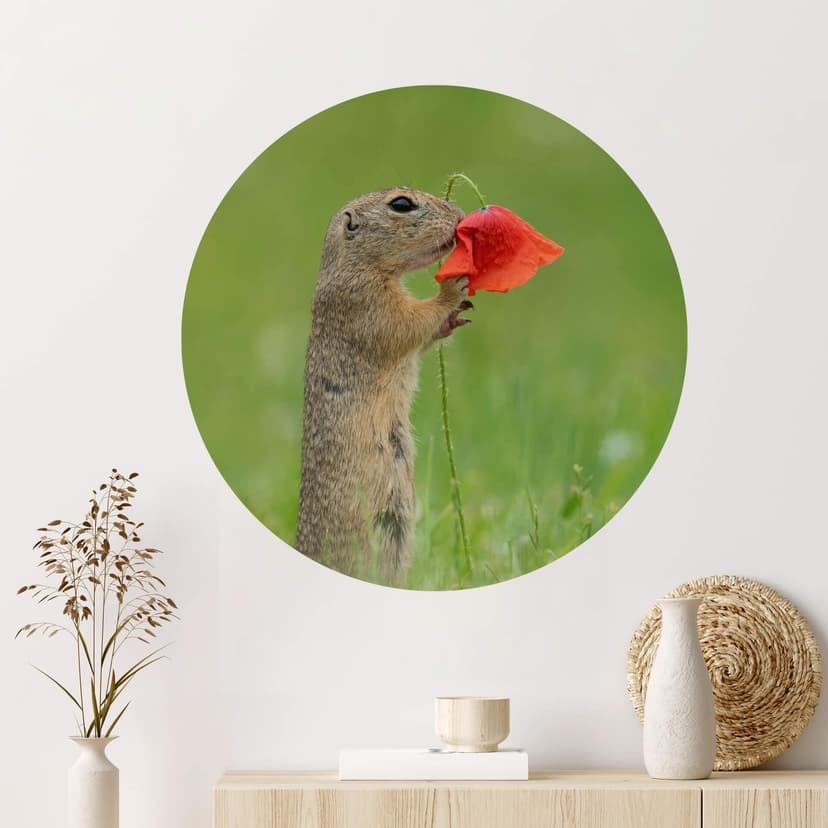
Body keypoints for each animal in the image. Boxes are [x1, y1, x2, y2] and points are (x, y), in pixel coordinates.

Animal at [296, 187, 472, 585]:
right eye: (401, 204)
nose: (459, 214)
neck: (355, 265)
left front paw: (455, 316)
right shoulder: (366, 302)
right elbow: (408, 323)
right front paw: (453, 288)